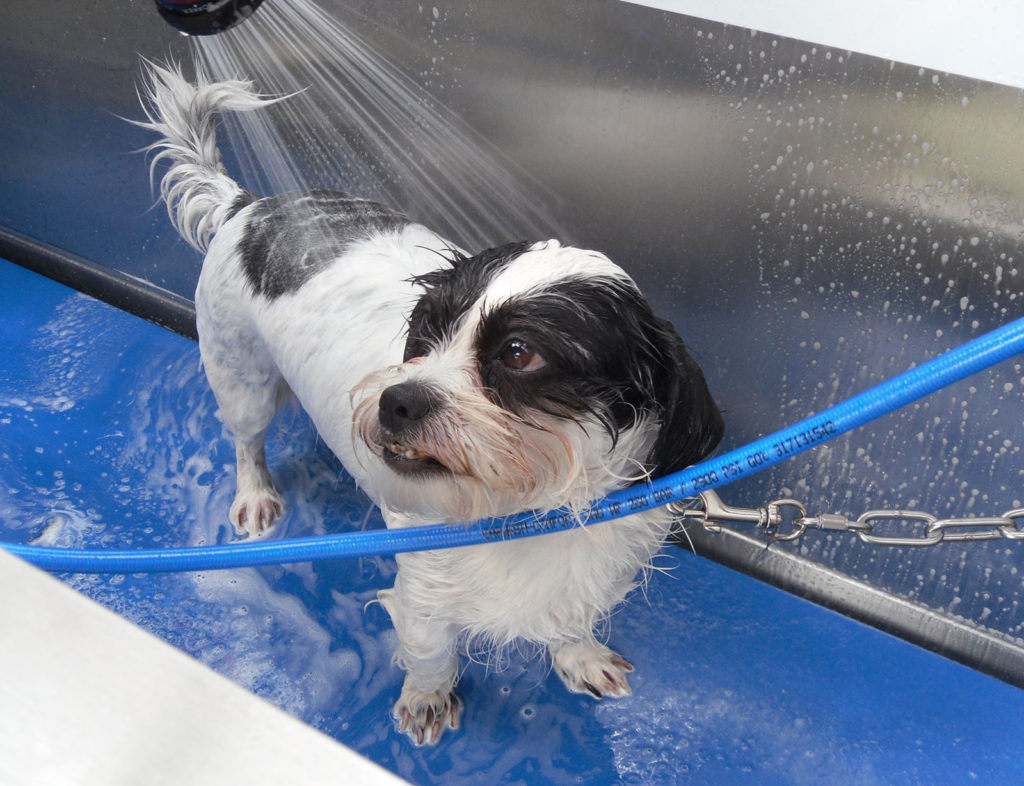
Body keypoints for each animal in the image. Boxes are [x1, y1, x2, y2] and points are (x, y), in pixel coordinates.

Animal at [140, 61, 724, 745]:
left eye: (519, 353)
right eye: (425, 330)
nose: (394, 401)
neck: (529, 510)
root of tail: (250, 205)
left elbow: (572, 619)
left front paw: (579, 656)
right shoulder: (423, 588)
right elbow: (430, 653)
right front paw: (425, 702)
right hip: (241, 380)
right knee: (246, 440)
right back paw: (256, 494)